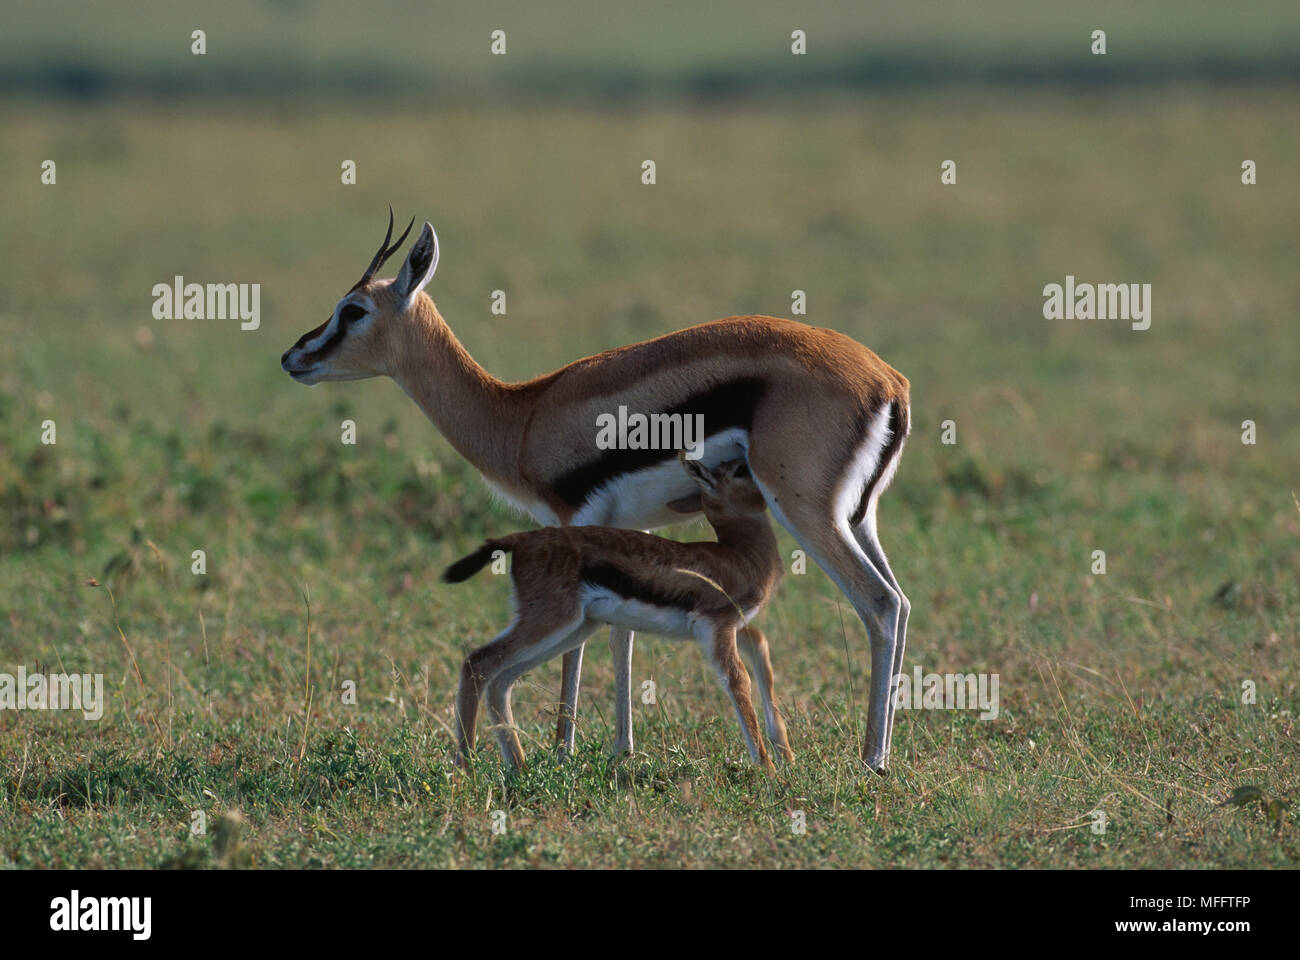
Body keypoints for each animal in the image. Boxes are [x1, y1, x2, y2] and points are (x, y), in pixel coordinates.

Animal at [443, 455, 789, 771]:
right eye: (740, 469)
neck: (740, 555)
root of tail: (521, 539)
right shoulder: (718, 627)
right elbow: (738, 679)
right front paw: (769, 770)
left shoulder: (729, 629)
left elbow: (759, 645)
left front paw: (785, 754)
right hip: (552, 623)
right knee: (478, 661)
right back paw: (467, 767)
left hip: (574, 630)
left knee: (501, 680)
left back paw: (518, 766)